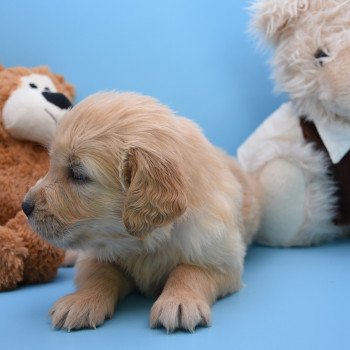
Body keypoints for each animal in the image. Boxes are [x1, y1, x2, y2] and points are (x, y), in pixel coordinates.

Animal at [23, 91, 262, 332]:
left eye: (77, 175)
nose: (25, 206)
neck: (142, 242)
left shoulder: (221, 259)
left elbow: (189, 270)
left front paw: (179, 301)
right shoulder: (96, 254)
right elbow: (99, 273)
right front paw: (81, 300)